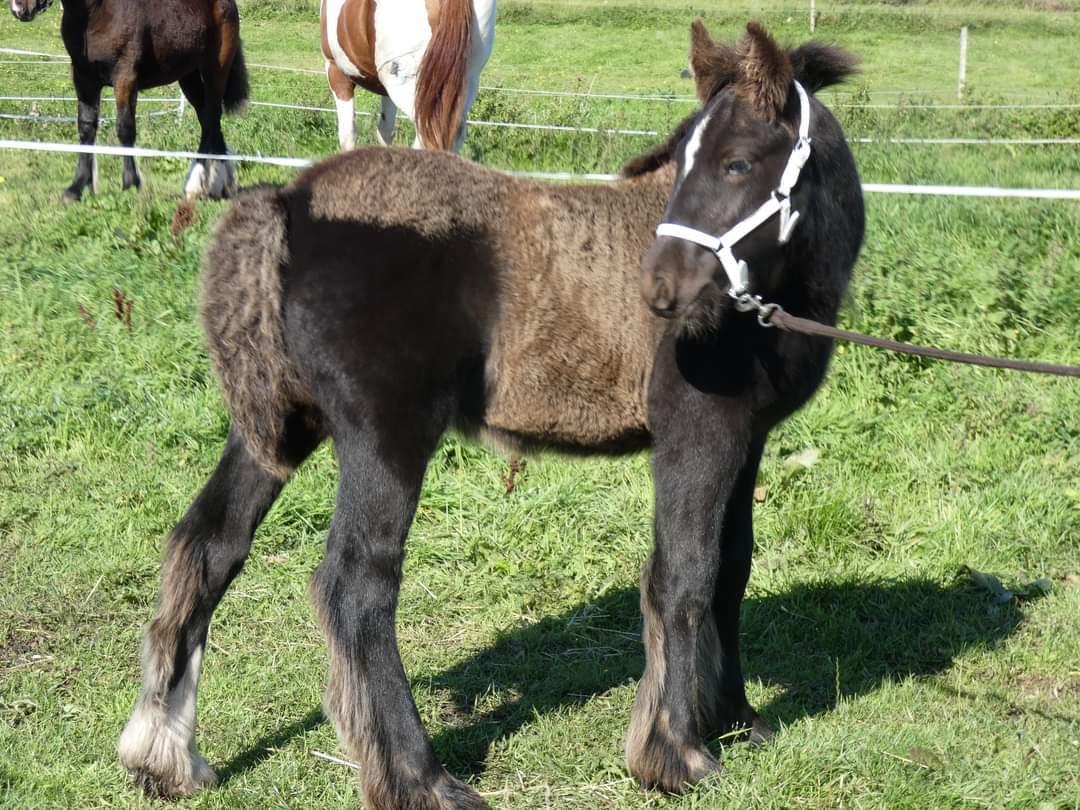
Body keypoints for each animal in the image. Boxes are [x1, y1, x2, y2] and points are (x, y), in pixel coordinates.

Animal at [11, 0, 248, 201]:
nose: (19, 8)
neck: (96, 12)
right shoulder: (83, 79)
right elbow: (86, 128)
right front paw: (76, 188)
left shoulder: (125, 78)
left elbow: (125, 128)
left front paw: (131, 184)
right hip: (188, 76)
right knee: (208, 121)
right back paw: (211, 186)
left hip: (215, 71)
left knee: (212, 119)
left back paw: (204, 186)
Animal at [116, 22, 859, 807]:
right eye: (683, 156)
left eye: (737, 161)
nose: (659, 289)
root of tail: (289, 200)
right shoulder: (698, 434)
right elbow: (684, 574)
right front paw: (677, 753)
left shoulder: (747, 437)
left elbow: (732, 567)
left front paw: (738, 719)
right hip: (387, 434)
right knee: (355, 586)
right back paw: (420, 779)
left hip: (282, 427)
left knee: (209, 544)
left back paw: (164, 754)